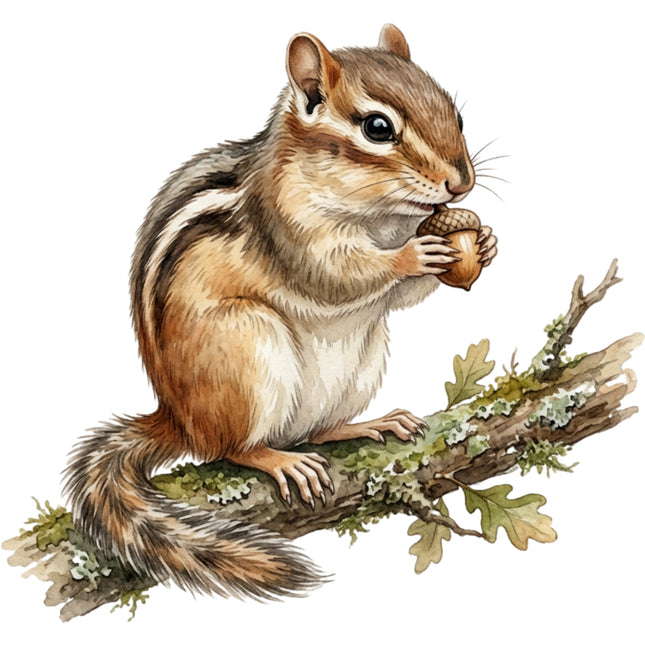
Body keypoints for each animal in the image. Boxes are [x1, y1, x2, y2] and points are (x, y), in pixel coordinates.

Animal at [64, 24, 497, 600]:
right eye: (378, 128)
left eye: (457, 114)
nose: (461, 183)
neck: (379, 217)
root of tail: (177, 418)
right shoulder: (290, 231)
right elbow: (338, 274)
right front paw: (414, 255)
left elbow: (396, 296)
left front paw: (484, 242)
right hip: (247, 347)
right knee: (228, 448)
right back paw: (277, 460)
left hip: (362, 363)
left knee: (313, 429)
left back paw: (362, 426)